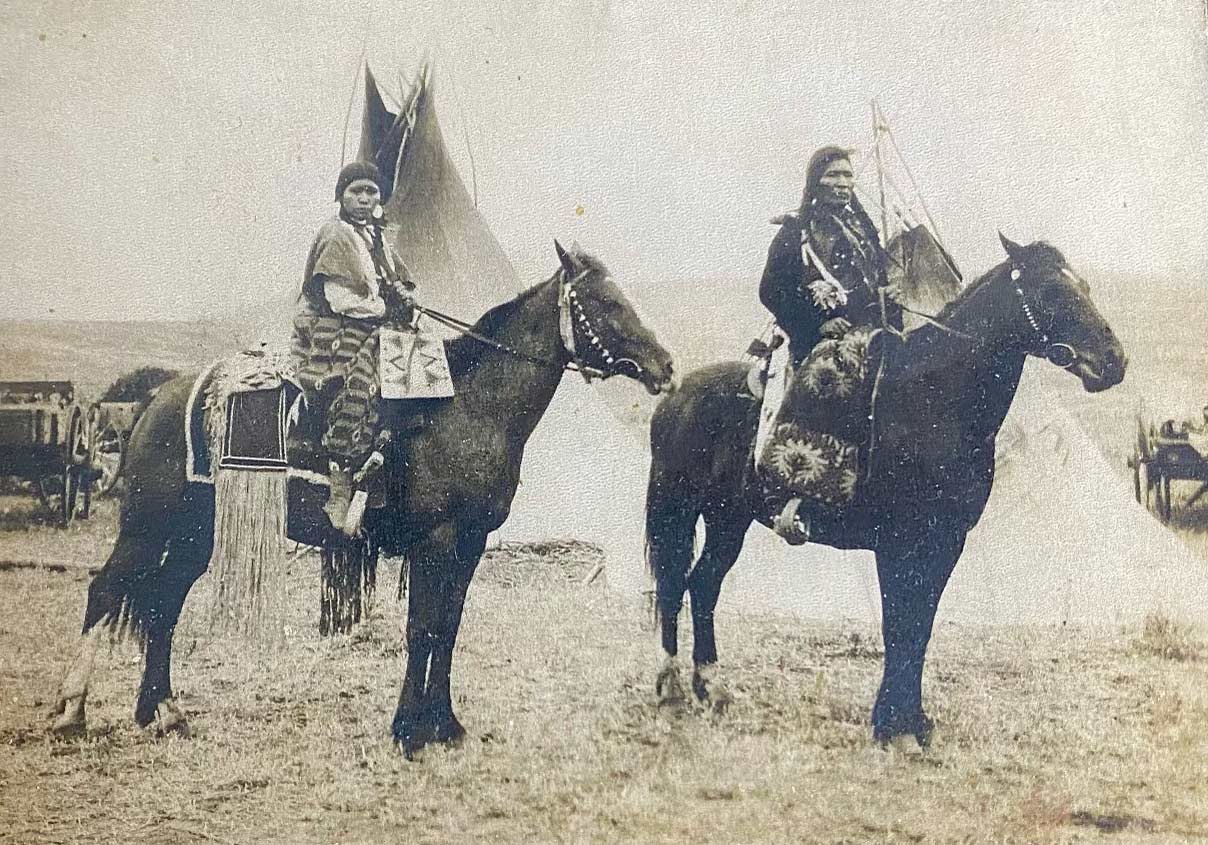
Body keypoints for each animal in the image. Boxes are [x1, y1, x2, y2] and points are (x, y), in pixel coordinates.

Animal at [54, 241, 681, 758]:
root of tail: (158, 394)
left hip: (195, 534)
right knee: (106, 590)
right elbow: (423, 629)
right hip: (146, 526)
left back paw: (162, 711)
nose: (666, 366)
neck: (466, 408)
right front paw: (408, 731)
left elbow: (448, 629)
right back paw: (71, 714)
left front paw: (445, 726)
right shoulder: (435, 541)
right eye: (606, 301)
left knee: (162, 603)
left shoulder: (471, 544)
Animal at [647, 234, 1125, 743]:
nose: (1115, 362)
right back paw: (672, 690)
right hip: (678, 507)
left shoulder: (946, 541)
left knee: (703, 584)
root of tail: (677, 394)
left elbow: (921, 626)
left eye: (1085, 287)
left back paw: (710, 688)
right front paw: (891, 725)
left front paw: (911, 721)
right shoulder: (898, 543)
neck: (933, 404)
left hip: (728, 519)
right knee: (674, 584)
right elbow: (899, 624)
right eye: (1052, 292)